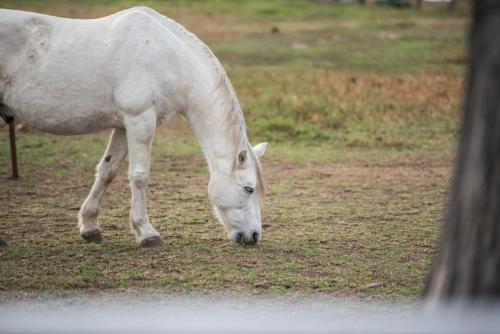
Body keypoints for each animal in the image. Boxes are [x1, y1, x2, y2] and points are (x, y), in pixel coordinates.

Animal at [0, 6, 268, 248]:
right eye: (249, 189)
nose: (254, 236)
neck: (170, 58)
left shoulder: (123, 125)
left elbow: (107, 171)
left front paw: (90, 227)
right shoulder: (141, 120)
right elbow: (140, 176)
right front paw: (146, 233)